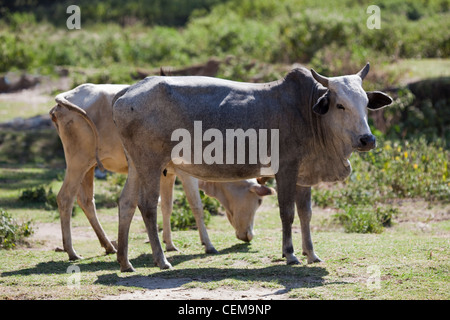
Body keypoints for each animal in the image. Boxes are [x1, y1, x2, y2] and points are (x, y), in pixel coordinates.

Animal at [49, 83, 274, 262]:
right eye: (259, 201)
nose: (250, 236)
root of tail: (68, 95)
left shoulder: (168, 173)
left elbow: (167, 206)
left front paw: (169, 244)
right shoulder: (186, 173)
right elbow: (196, 206)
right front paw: (208, 245)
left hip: (89, 166)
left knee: (87, 201)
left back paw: (109, 246)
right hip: (77, 162)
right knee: (65, 198)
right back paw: (71, 251)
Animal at [110, 62, 392, 270]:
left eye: (366, 104)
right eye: (340, 105)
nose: (367, 139)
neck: (308, 112)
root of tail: (127, 92)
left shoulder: (304, 174)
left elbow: (306, 214)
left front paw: (311, 253)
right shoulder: (286, 170)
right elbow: (287, 213)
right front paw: (290, 254)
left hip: (136, 166)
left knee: (126, 203)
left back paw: (124, 261)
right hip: (150, 164)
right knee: (147, 206)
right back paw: (161, 259)